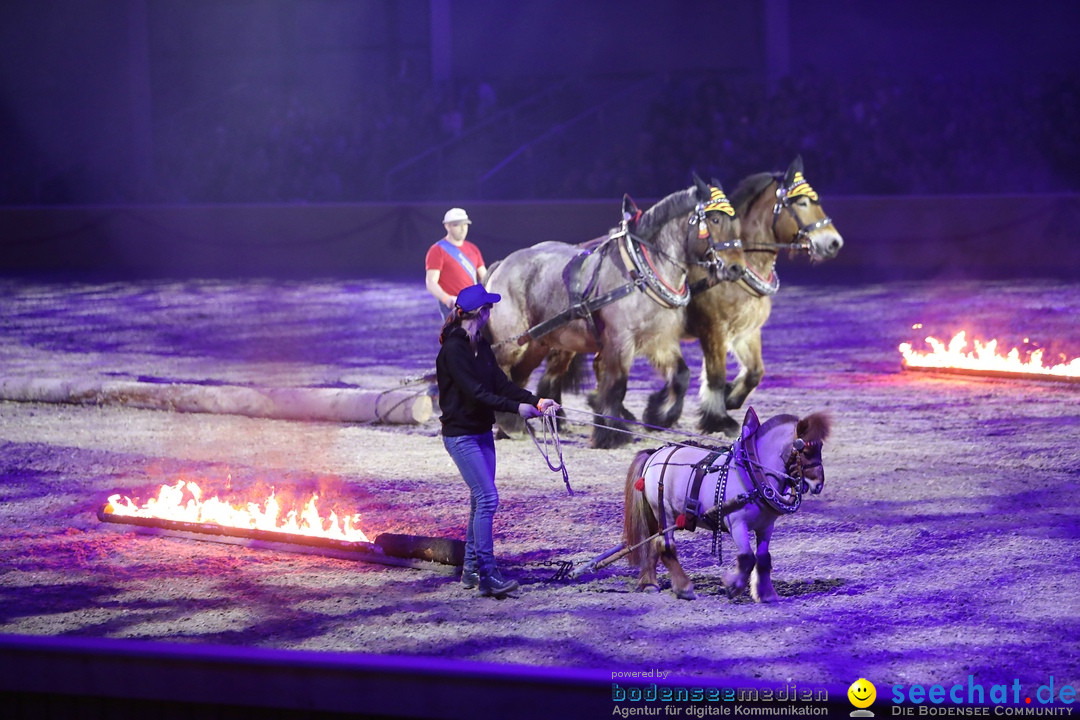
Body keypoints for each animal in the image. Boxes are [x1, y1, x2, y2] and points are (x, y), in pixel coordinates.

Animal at [486, 177, 747, 446]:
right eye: (714, 220)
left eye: (735, 221)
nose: (736, 268)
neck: (641, 271)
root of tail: (502, 264)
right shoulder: (619, 340)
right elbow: (617, 385)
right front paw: (612, 434)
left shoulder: (658, 340)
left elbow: (681, 375)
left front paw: (659, 416)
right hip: (513, 342)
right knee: (502, 370)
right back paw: (510, 424)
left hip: (538, 343)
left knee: (519, 377)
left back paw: (512, 426)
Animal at [622, 405, 829, 604]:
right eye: (805, 450)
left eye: (820, 447)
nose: (818, 484)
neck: (752, 473)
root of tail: (655, 454)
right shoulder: (736, 523)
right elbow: (747, 557)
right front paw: (733, 586)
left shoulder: (766, 527)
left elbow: (763, 558)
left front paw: (766, 593)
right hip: (664, 511)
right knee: (665, 546)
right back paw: (683, 588)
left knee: (651, 544)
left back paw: (649, 583)